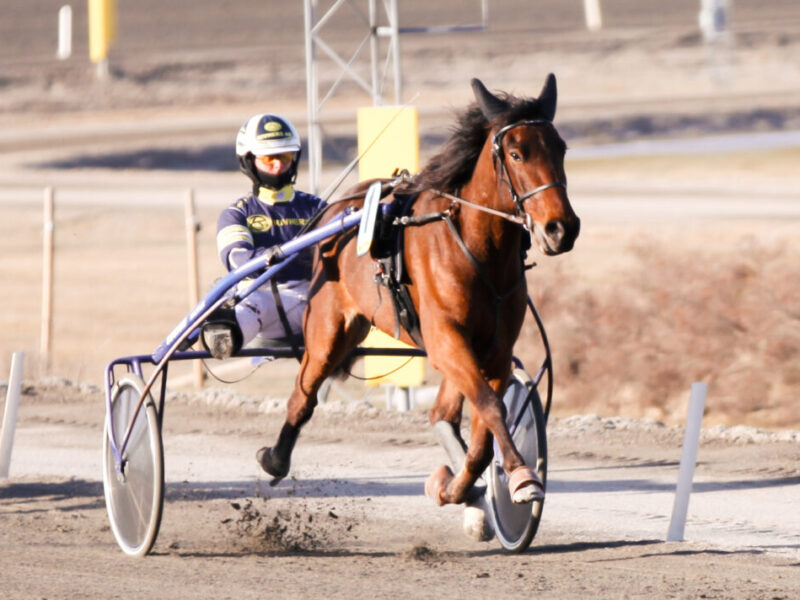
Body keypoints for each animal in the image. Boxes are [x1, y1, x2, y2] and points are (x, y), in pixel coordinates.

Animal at [260, 72, 580, 536]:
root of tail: (336, 209)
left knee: (442, 413)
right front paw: (521, 477)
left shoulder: (495, 349)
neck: (476, 248)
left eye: (561, 149)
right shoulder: (446, 337)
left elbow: (483, 431)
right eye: (517, 153)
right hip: (328, 327)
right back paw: (274, 459)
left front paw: (459, 488)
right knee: (303, 395)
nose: (561, 228)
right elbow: (490, 406)